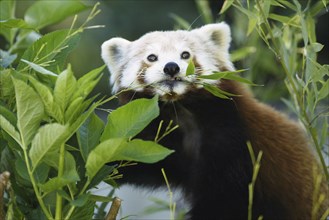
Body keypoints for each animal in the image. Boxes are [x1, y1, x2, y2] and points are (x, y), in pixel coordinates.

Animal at [100, 22, 328, 220]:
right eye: (152, 57)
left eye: (185, 54)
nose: (171, 67)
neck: (182, 112)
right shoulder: (163, 143)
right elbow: (138, 159)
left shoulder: (234, 139)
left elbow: (225, 201)